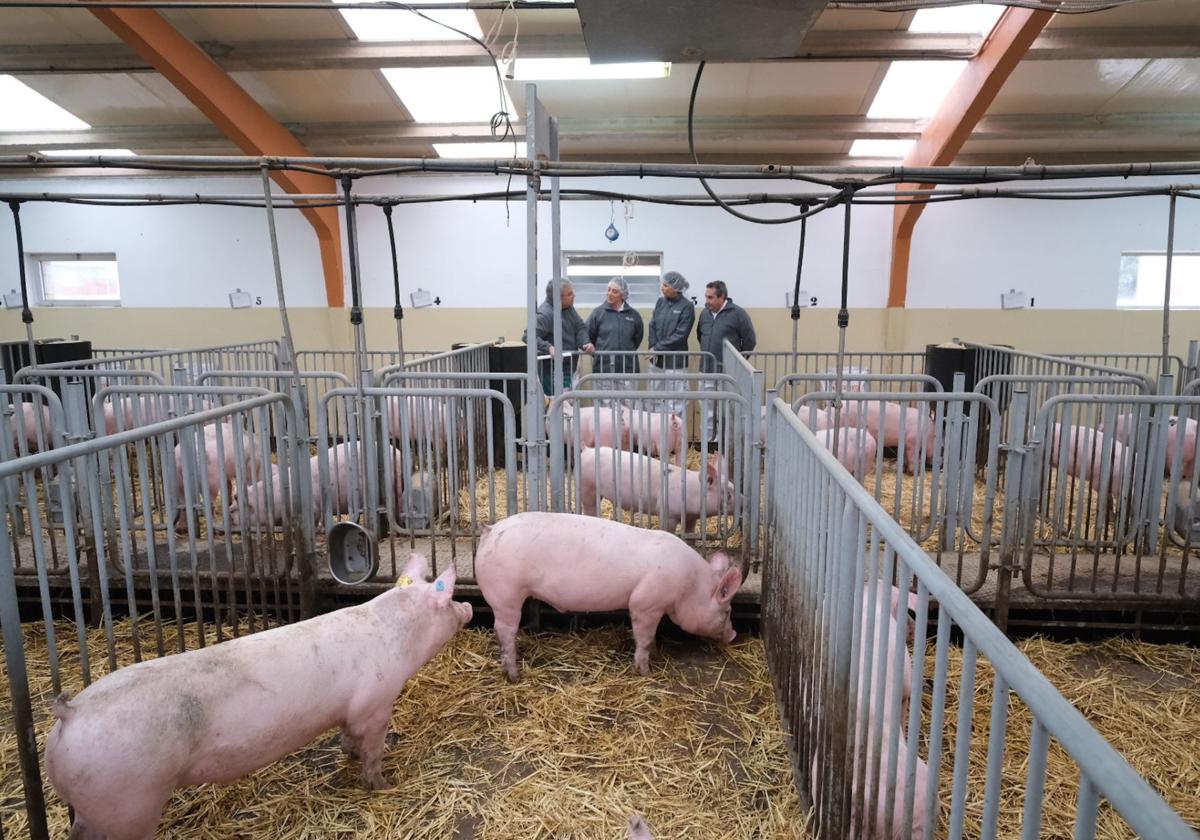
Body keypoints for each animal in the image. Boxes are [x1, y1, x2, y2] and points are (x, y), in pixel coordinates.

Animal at [46, 552, 470, 840]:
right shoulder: (376, 703)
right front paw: (382, 784)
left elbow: (348, 736)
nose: (467, 605)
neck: (396, 631)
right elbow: (373, 749)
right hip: (130, 803)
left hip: (97, 808)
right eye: (449, 599)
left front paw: (348, 753)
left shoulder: (350, 711)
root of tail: (73, 713)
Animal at [475, 511, 739, 681]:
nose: (734, 634)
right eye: (726, 611)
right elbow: (643, 637)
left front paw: (654, 652)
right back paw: (514, 676)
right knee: (504, 631)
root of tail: (491, 530)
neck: (691, 585)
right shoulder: (645, 603)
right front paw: (645, 672)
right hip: (506, 595)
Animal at [576, 446, 734, 530]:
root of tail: (586, 450)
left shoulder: (691, 518)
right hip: (587, 486)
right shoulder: (666, 511)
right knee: (589, 508)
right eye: (727, 494)